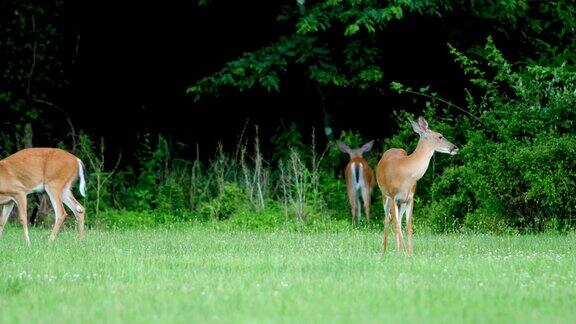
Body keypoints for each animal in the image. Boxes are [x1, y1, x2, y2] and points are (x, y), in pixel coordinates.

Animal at [374, 117, 460, 256]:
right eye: (440, 136)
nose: (455, 147)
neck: (406, 172)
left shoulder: (410, 198)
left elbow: (408, 227)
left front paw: (409, 253)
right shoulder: (393, 196)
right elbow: (397, 225)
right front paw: (404, 252)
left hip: (401, 203)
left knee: (397, 220)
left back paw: (397, 250)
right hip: (384, 195)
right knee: (387, 220)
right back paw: (384, 250)